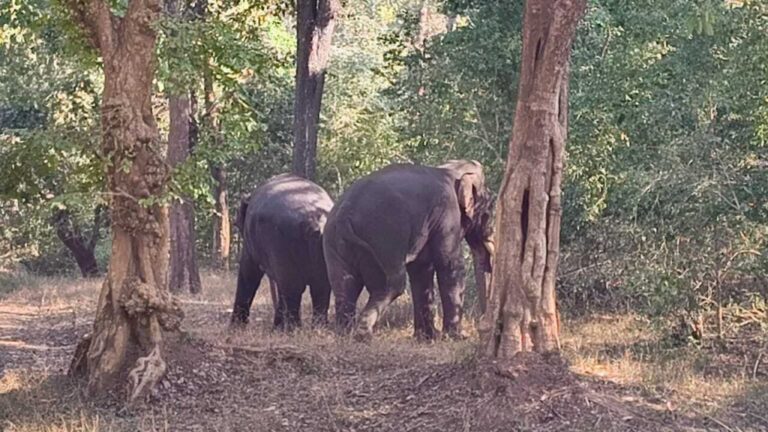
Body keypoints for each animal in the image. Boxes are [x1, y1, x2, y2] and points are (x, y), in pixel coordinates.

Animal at [231, 173, 334, 329]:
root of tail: (315, 221)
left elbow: (248, 272)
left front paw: (235, 328)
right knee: (320, 286)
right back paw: (316, 328)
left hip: (281, 242)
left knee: (293, 288)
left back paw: (293, 329)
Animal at [322, 160, 495, 340]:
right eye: (491, 207)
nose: (481, 327)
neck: (451, 168)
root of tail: (344, 215)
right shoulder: (447, 213)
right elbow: (449, 265)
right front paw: (456, 337)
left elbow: (421, 269)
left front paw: (427, 337)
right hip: (384, 240)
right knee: (391, 285)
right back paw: (363, 335)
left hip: (333, 243)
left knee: (344, 287)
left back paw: (344, 334)